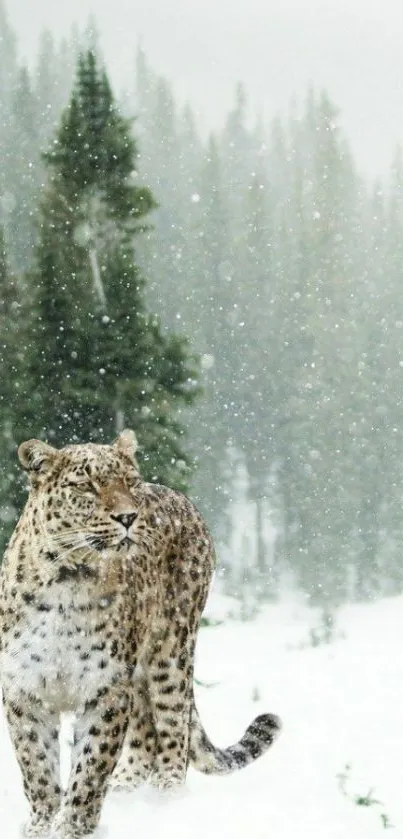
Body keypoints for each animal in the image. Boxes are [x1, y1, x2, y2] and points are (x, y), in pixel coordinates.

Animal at [0, 434, 280, 839]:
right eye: (86, 485)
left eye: (130, 482)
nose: (129, 517)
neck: (68, 579)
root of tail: (179, 496)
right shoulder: (25, 689)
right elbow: (37, 766)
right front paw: (40, 825)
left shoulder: (106, 689)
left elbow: (90, 767)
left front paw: (73, 827)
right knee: (145, 733)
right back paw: (127, 788)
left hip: (171, 652)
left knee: (172, 725)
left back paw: (166, 799)